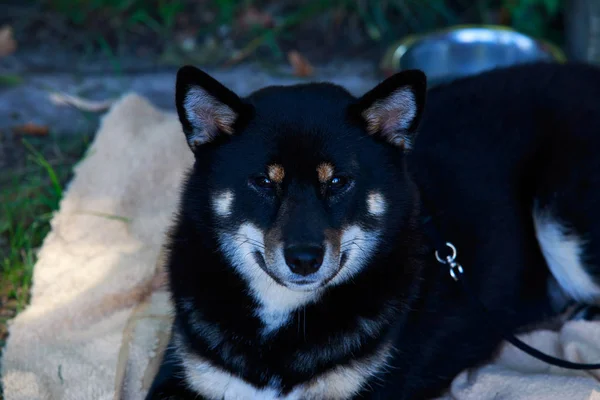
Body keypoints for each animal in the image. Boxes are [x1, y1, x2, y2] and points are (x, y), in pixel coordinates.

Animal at [145, 61, 600, 398]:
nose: (305, 259)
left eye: (338, 181)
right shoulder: (184, 374)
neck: (284, 311)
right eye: (263, 181)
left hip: (559, 226)